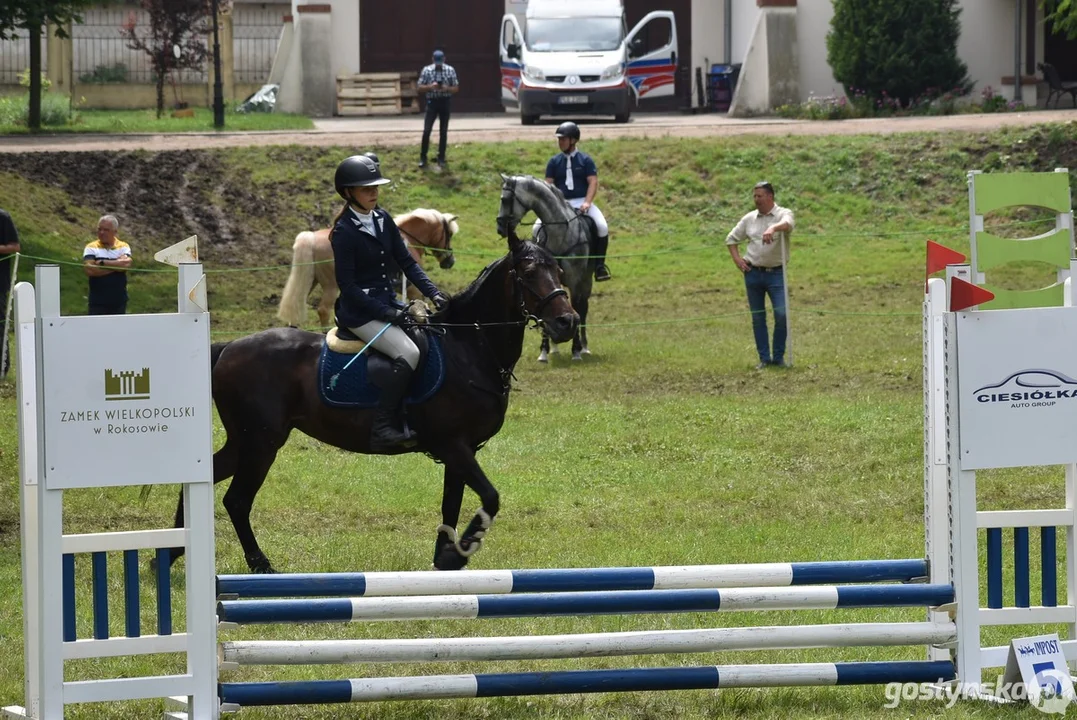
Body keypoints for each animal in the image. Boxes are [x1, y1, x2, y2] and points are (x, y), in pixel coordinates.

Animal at [165, 227, 581, 576]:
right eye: (528, 273)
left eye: (558, 270)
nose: (567, 323)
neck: (469, 349)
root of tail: (229, 347)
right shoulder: (453, 444)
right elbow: (491, 498)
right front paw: (458, 553)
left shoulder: (462, 448)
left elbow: (451, 502)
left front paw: (444, 559)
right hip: (262, 442)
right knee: (237, 500)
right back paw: (259, 564)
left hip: (245, 441)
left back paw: (166, 557)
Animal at [275, 207, 456, 329]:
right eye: (450, 234)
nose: (450, 261)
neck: (409, 239)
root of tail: (311, 237)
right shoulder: (413, 290)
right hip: (331, 286)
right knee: (323, 310)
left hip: (310, 281)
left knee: (296, 305)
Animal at [495, 173, 598, 361]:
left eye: (504, 200)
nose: (500, 228)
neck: (559, 233)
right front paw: (543, 351)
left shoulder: (574, 281)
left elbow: (576, 309)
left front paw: (576, 350)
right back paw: (555, 347)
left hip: (586, 280)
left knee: (582, 308)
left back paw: (584, 347)